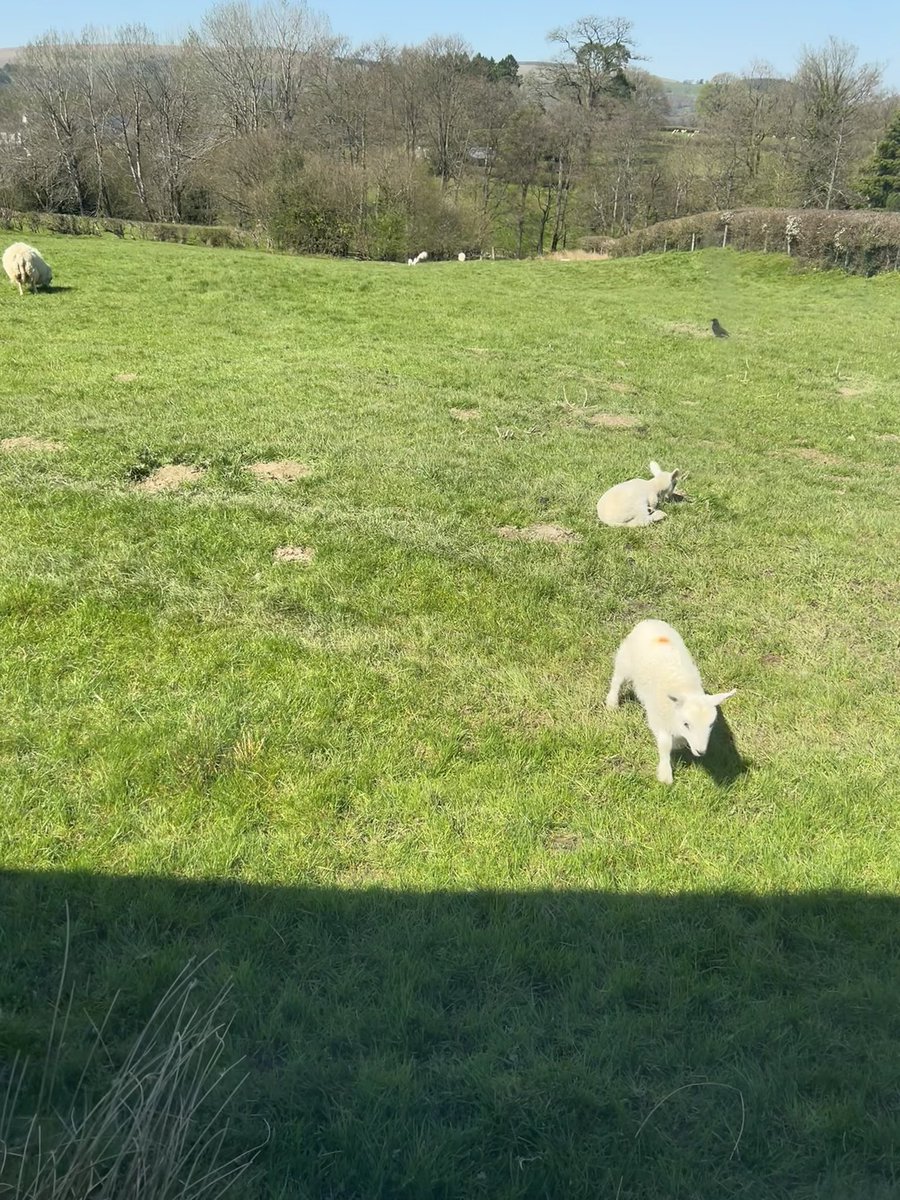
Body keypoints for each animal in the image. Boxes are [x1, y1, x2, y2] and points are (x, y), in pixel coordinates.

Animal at [607, 619, 739, 787]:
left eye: (710, 725)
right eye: (686, 724)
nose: (701, 751)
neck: (686, 689)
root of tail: (649, 621)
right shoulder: (658, 720)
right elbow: (665, 744)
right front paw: (665, 775)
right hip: (625, 660)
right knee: (617, 680)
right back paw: (612, 703)